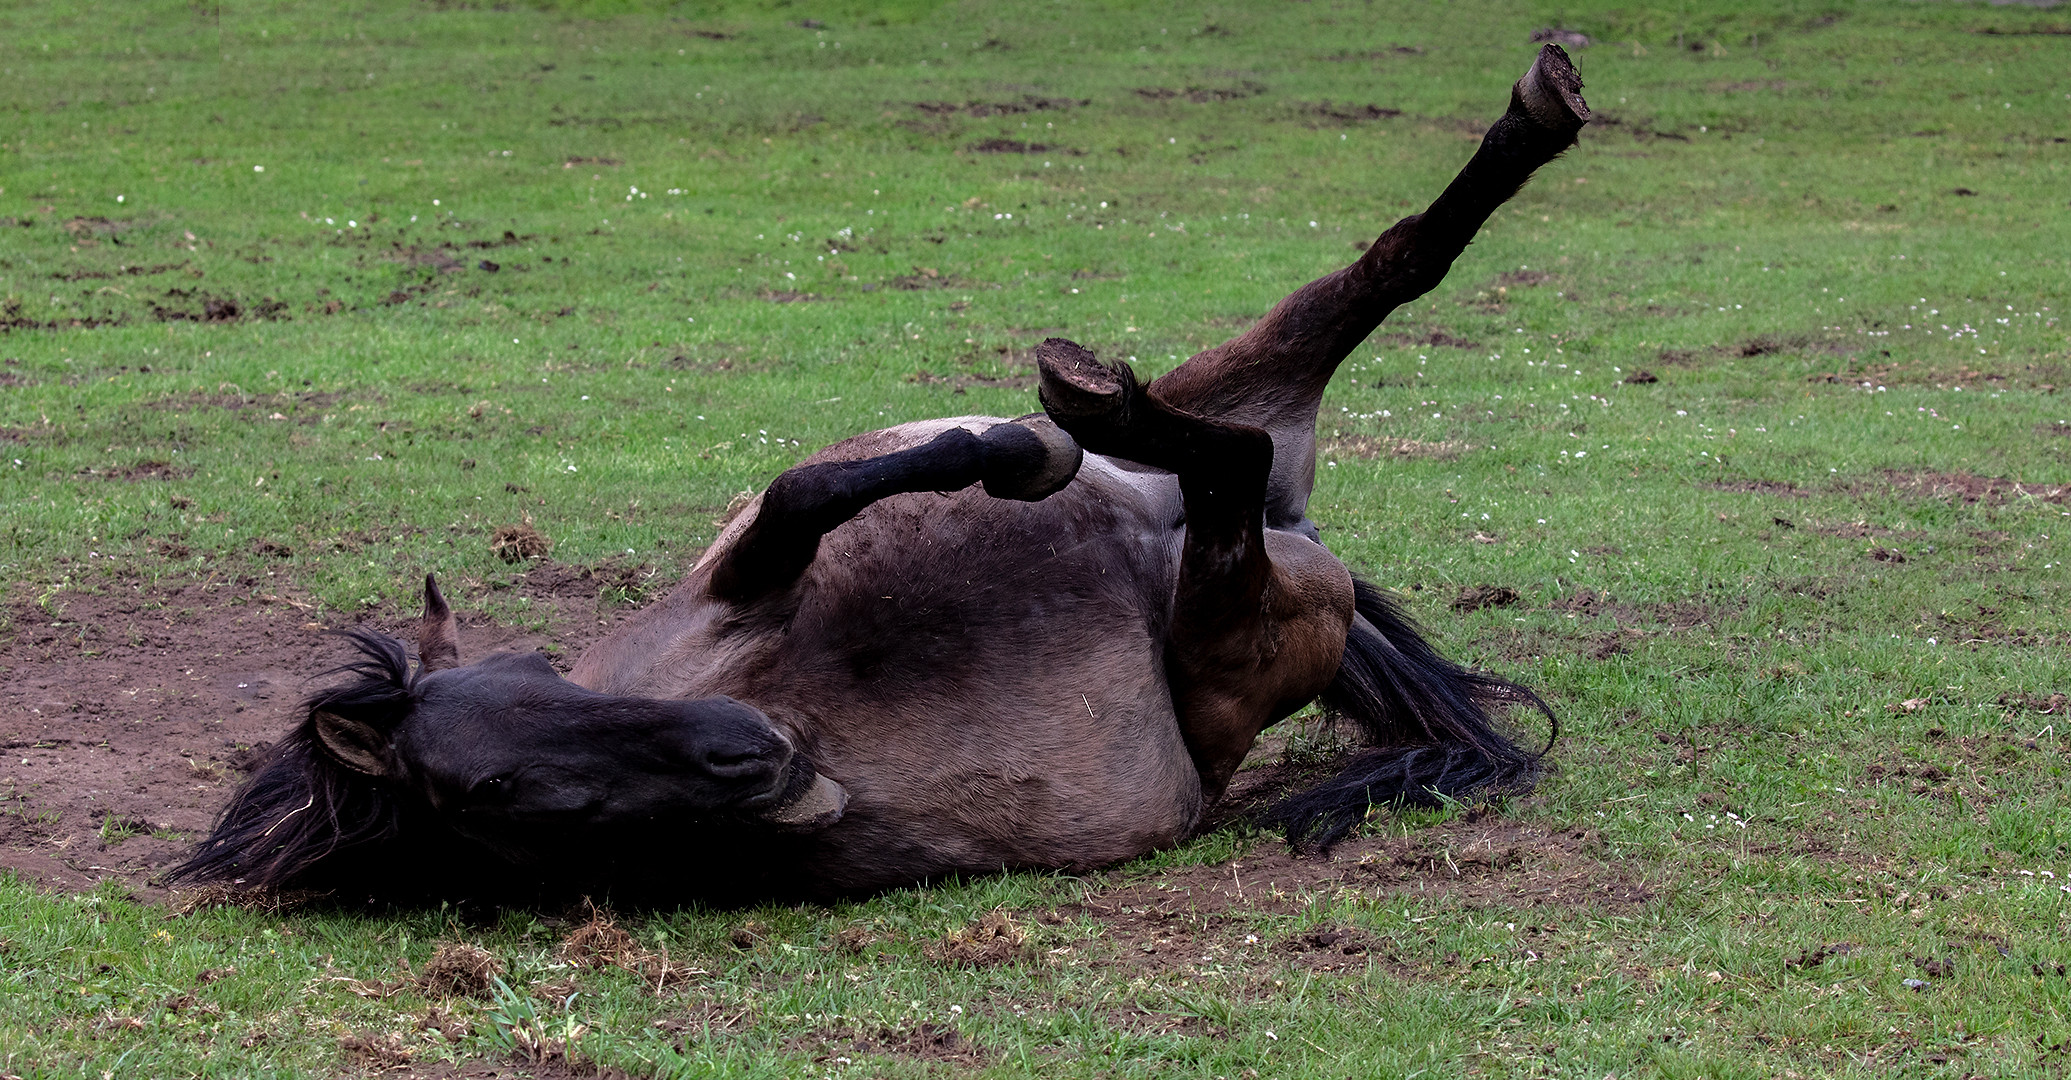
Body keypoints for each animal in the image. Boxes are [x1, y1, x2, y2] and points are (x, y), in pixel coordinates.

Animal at [169, 46, 1590, 895]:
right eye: (492, 788)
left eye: (536, 668)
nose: (745, 755)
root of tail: (1300, 534)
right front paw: (1021, 446)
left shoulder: (744, 576)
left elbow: (805, 488)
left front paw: (1006, 455)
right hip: (1232, 630)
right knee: (1235, 465)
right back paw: (1098, 399)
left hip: (1238, 411)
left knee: (1392, 265)